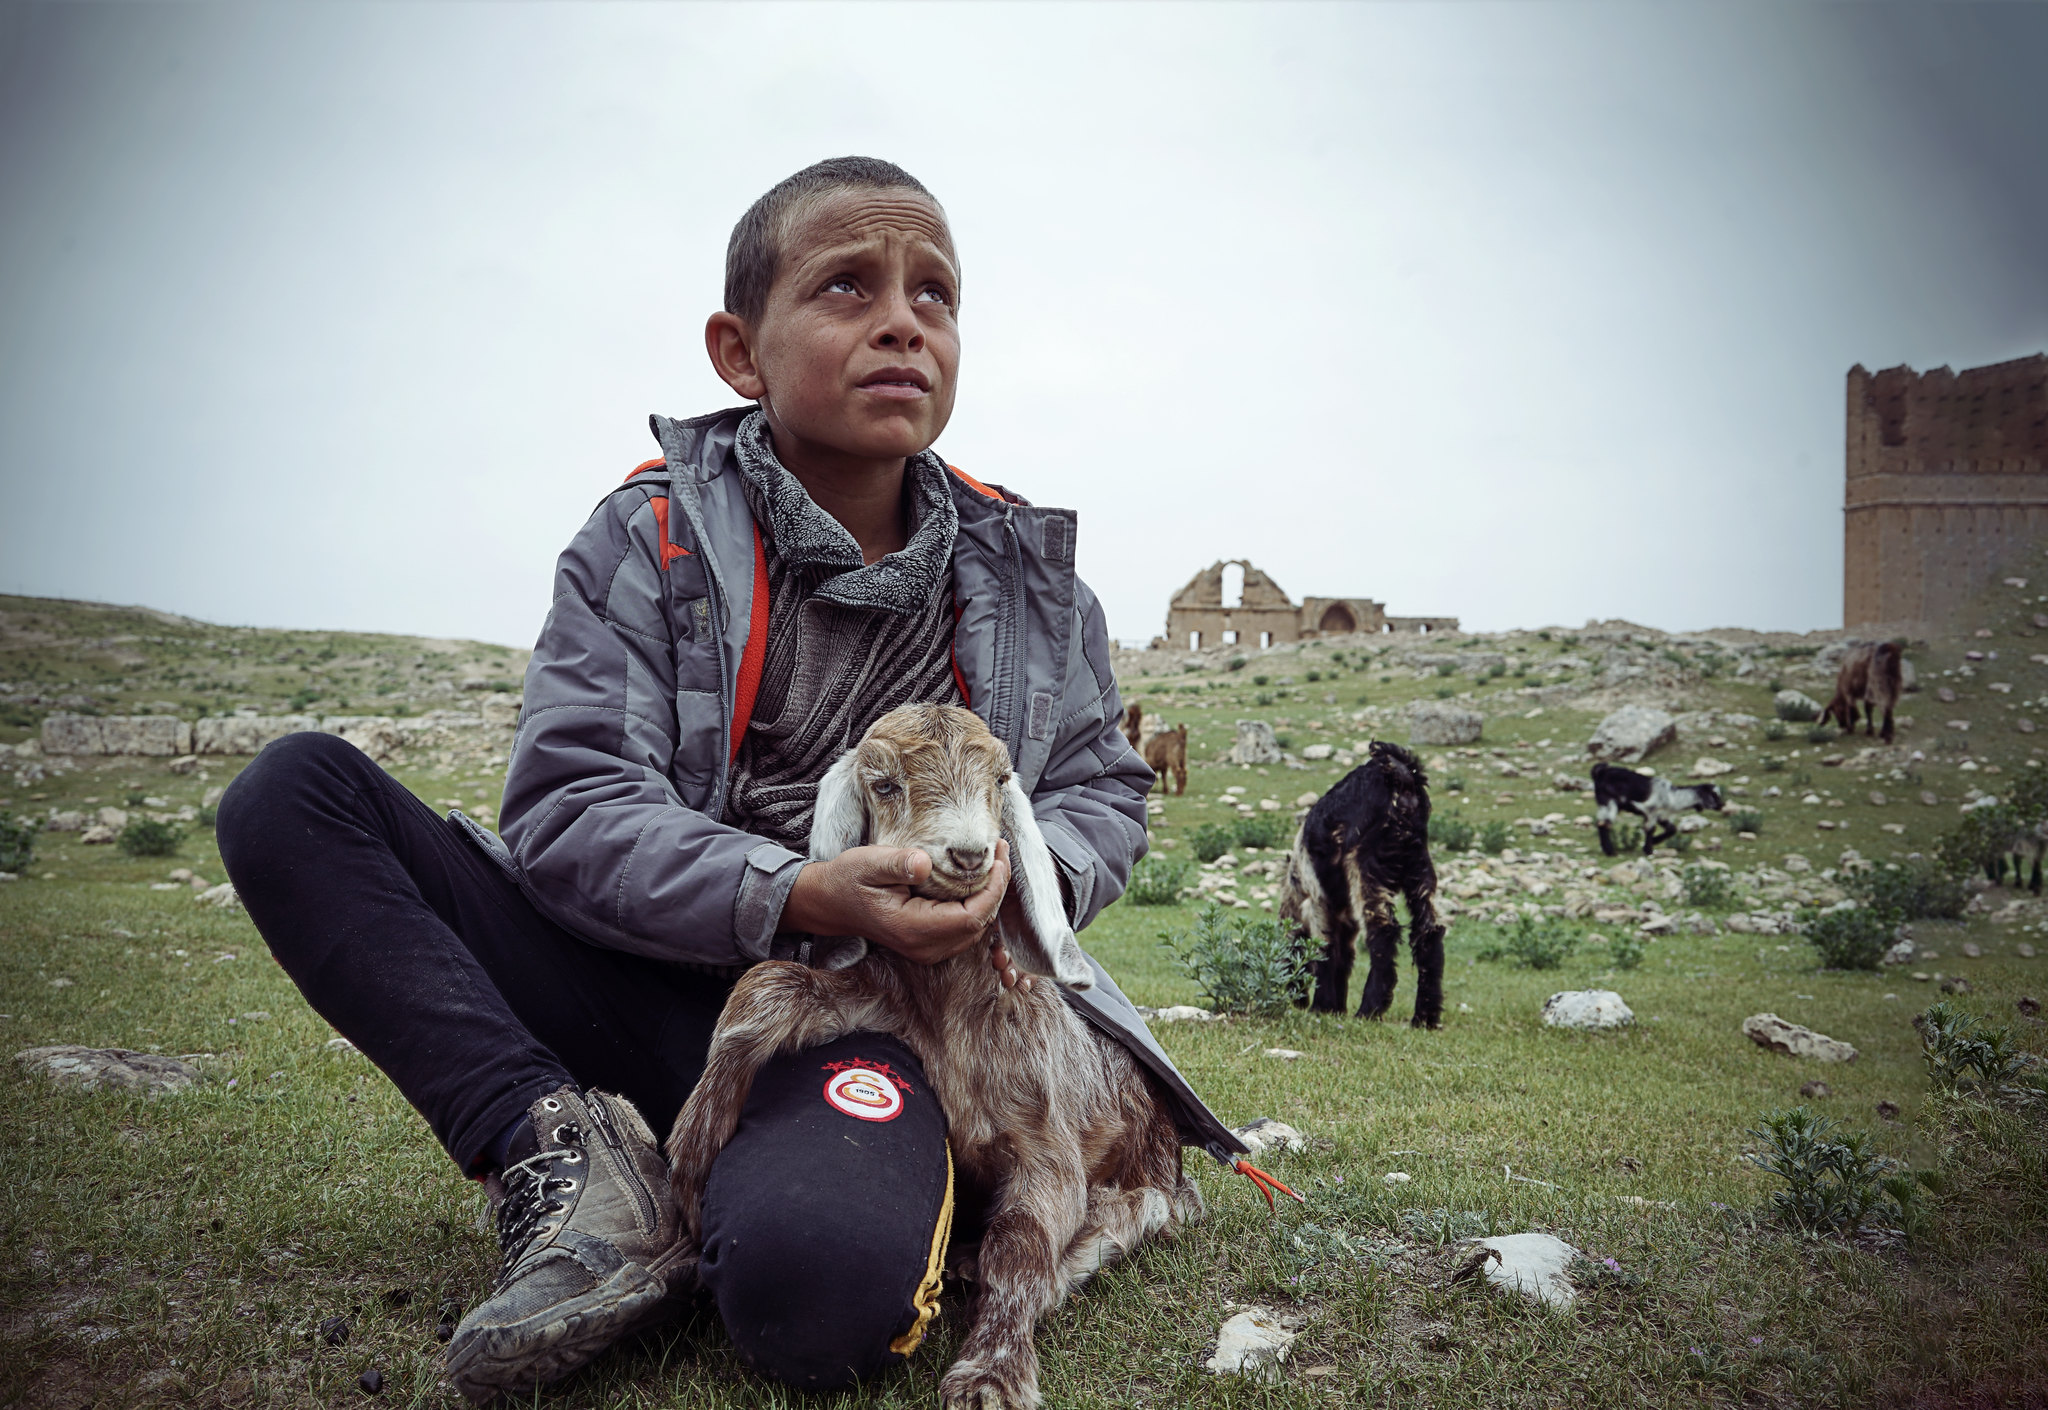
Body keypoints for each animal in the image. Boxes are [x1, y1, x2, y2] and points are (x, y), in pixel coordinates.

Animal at [663, 705, 1196, 1410]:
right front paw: (693, 1157)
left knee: (1126, 1218)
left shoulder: (1047, 1141)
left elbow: (1020, 1246)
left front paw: (992, 1374)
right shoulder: (882, 1007)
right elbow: (767, 984)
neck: (950, 1011)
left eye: (999, 781)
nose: (969, 854)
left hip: (1156, 1188)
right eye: (885, 784)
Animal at [1269, 741, 1449, 1028]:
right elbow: (1343, 957)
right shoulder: (1344, 919)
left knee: (1383, 932)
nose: (1296, 1001)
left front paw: (1322, 1007)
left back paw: (1369, 1010)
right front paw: (1335, 1008)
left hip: (1366, 868)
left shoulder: (1319, 903)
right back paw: (1425, 1017)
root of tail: (1399, 776)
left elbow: (1325, 950)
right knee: (1429, 933)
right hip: (1420, 869)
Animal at [1589, 766, 1720, 852]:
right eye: (1714, 795)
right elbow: (1650, 829)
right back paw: (1610, 851)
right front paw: (1648, 850)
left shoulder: (1661, 815)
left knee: (1600, 823)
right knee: (1604, 824)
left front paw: (1654, 842)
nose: (1721, 805)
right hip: (1609, 802)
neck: (1672, 797)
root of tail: (1601, 772)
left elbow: (1672, 829)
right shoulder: (1651, 811)